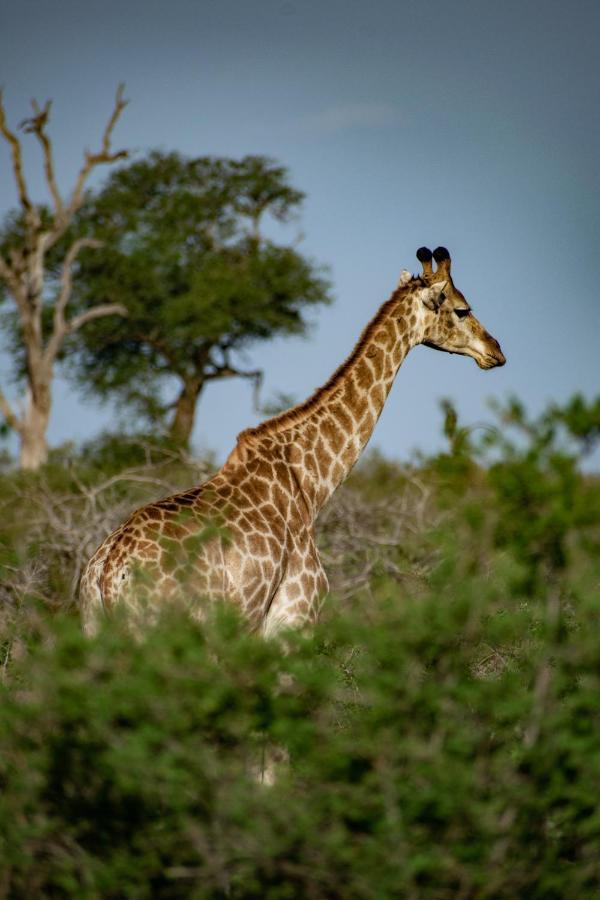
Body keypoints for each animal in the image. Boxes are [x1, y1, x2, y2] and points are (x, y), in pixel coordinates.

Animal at [77, 246, 504, 636]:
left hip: (94, 630)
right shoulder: (293, 618)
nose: (496, 351)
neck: (312, 483)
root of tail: (108, 573)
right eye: (462, 309)